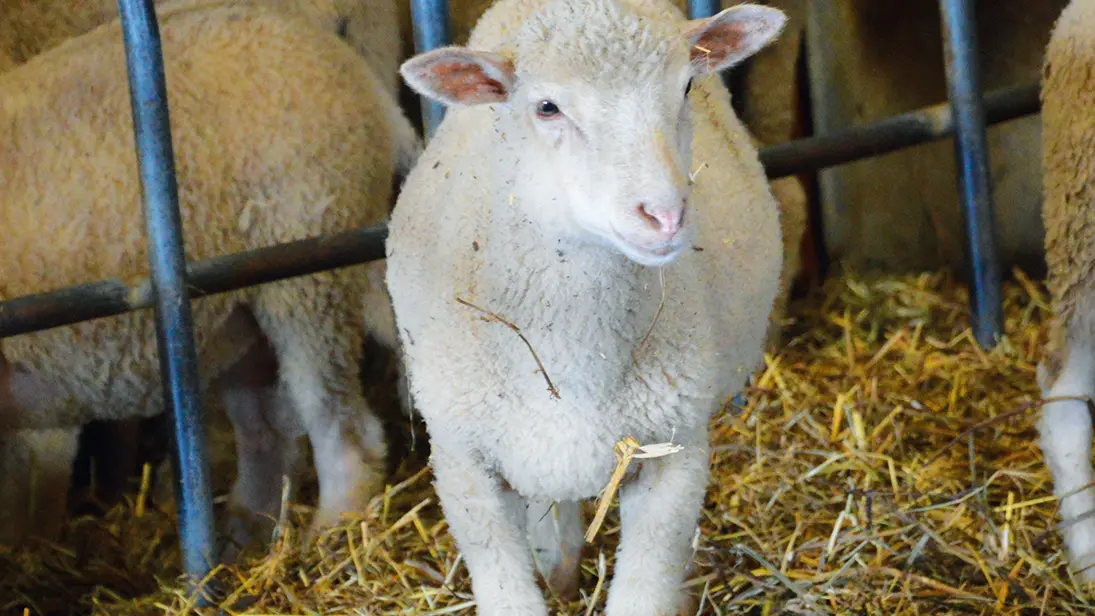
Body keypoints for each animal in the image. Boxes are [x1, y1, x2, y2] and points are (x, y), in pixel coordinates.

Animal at [0, 1, 418, 553]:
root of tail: (358, 74)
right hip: (243, 314)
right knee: (268, 430)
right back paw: (246, 537)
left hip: (307, 271)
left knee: (343, 428)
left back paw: (328, 535)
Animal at [389, 0, 784, 612]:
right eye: (547, 107)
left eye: (687, 86)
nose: (666, 216)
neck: (572, 358)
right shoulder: (462, 461)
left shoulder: (673, 452)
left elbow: (646, 586)